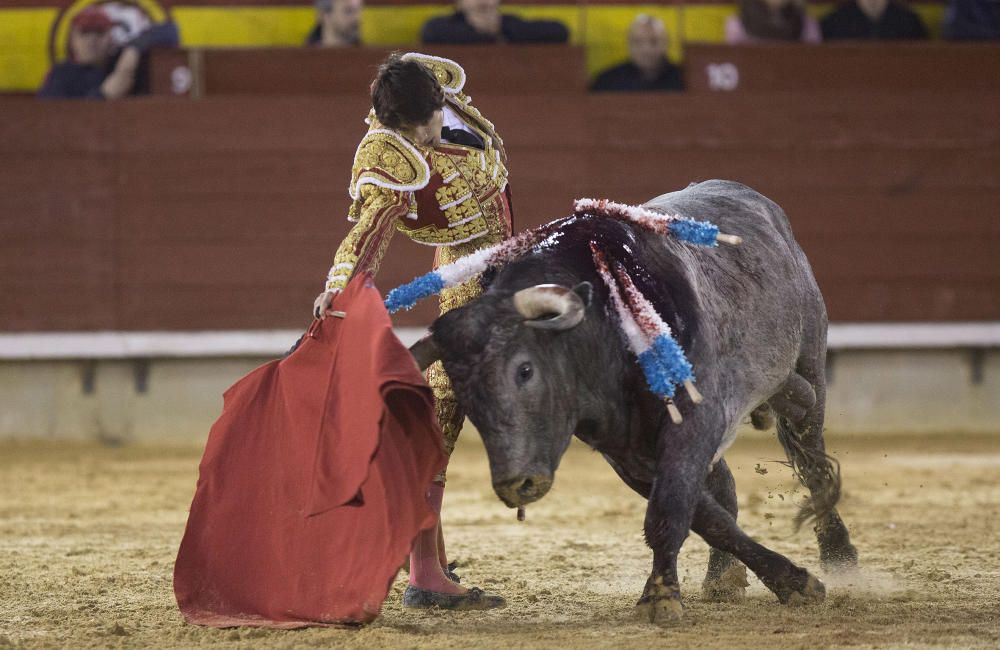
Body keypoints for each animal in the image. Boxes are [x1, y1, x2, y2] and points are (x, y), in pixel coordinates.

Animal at [410, 178, 856, 624]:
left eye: (524, 370)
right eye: (465, 393)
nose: (516, 484)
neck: (607, 327)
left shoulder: (693, 420)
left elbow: (669, 509)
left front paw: (660, 597)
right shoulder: (627, 452)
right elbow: (706, 517)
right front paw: (790, 581)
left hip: (811, 356)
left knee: (810, 455)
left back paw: (840, 556)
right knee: (729, 484)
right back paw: (722, 575)